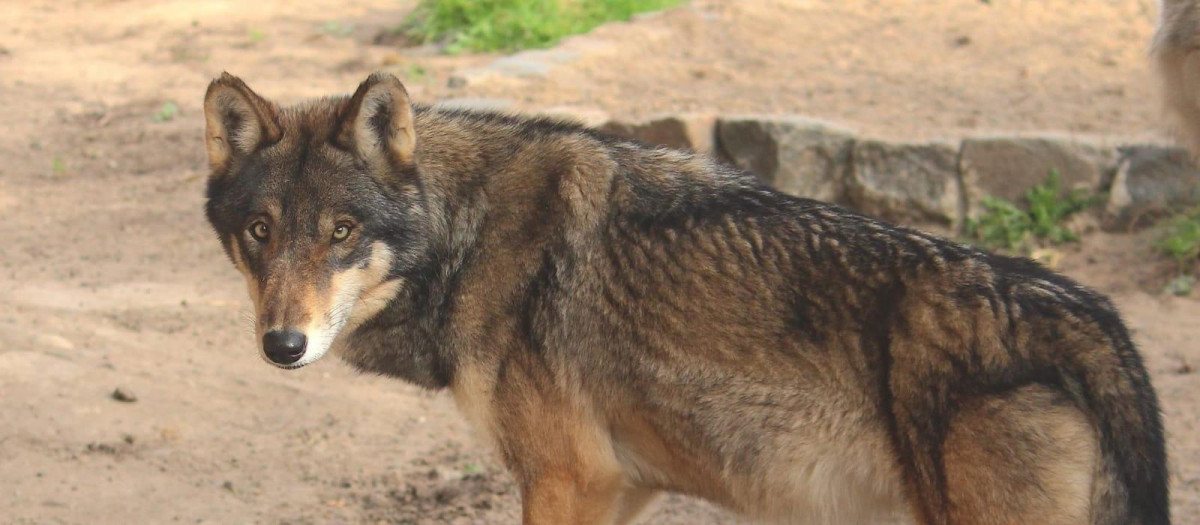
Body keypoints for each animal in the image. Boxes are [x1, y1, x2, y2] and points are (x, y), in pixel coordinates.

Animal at [201, 70, 1166, 525]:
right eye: (260, 230)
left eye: (340, 231)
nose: (283, 344)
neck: (465, 236)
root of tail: (1090, 317)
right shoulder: (623, 485)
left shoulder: (566, 477)